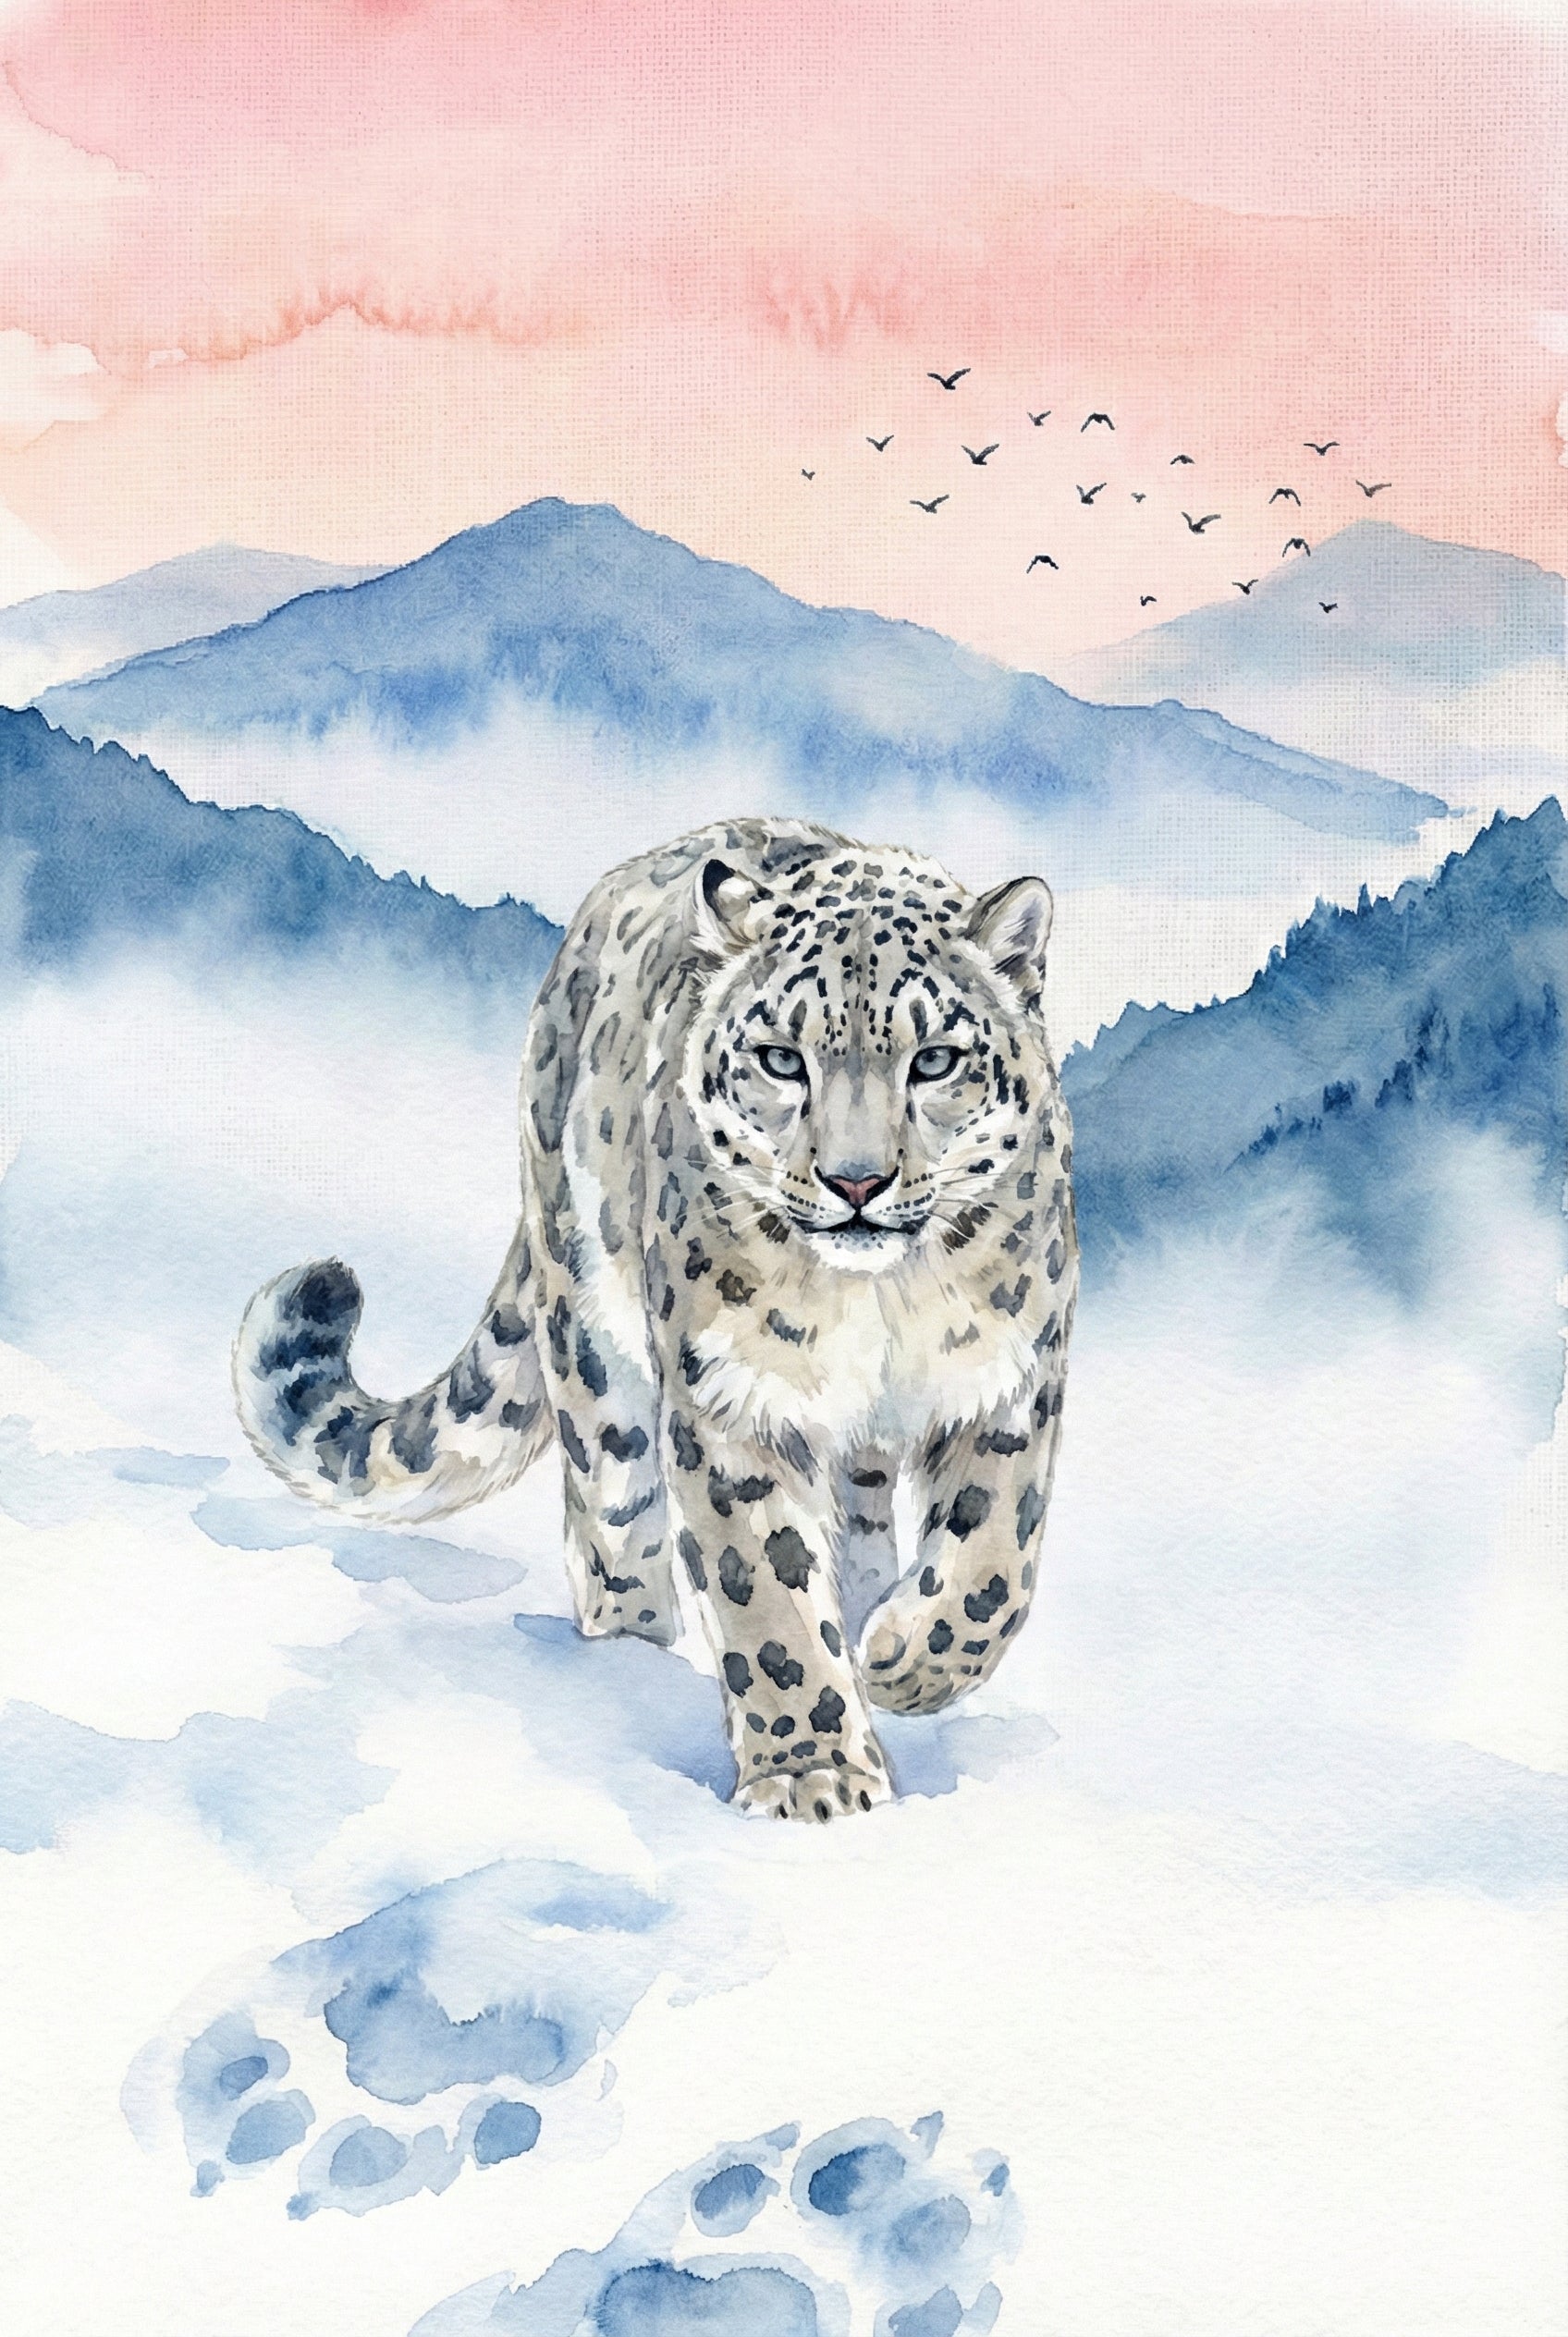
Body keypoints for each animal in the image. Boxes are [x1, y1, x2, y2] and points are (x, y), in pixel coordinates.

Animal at [234, 818, 1078, 1821]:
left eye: (936, 1059)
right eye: (781, 1058)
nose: (856, 1180)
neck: (876, 1305)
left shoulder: (1008, 1380)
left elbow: (996, 1558)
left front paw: (905, 1660)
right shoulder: (735, 1402)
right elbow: (769, 1598)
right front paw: (813, 1773)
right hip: (596, 1350)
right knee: (610, 1523)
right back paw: (630, 1656)